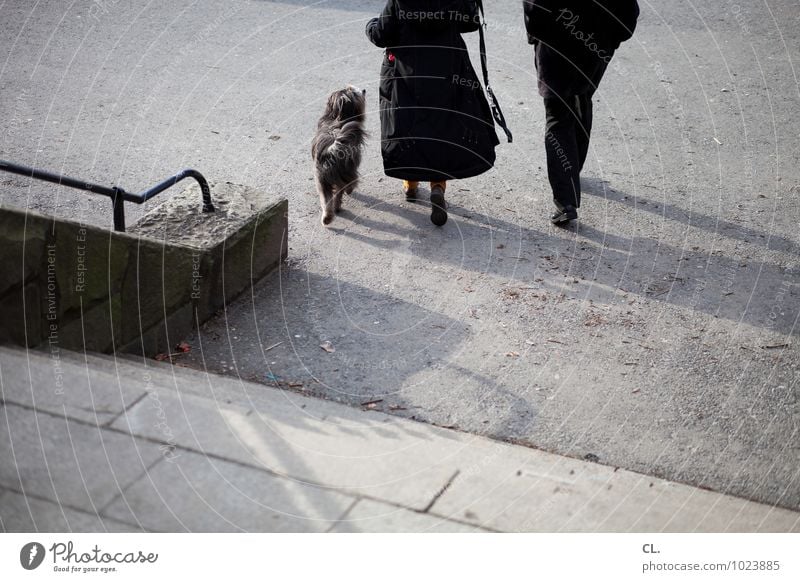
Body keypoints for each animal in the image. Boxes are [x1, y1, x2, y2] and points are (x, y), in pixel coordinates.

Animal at [310, 84, 368, 226]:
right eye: (355, 93)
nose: (364, 90)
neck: (338, 118)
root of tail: (331, 149)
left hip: (321, 180)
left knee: (326, 200)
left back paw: (327, 218)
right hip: (346, 171)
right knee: (344, 188)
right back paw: (341, 201)